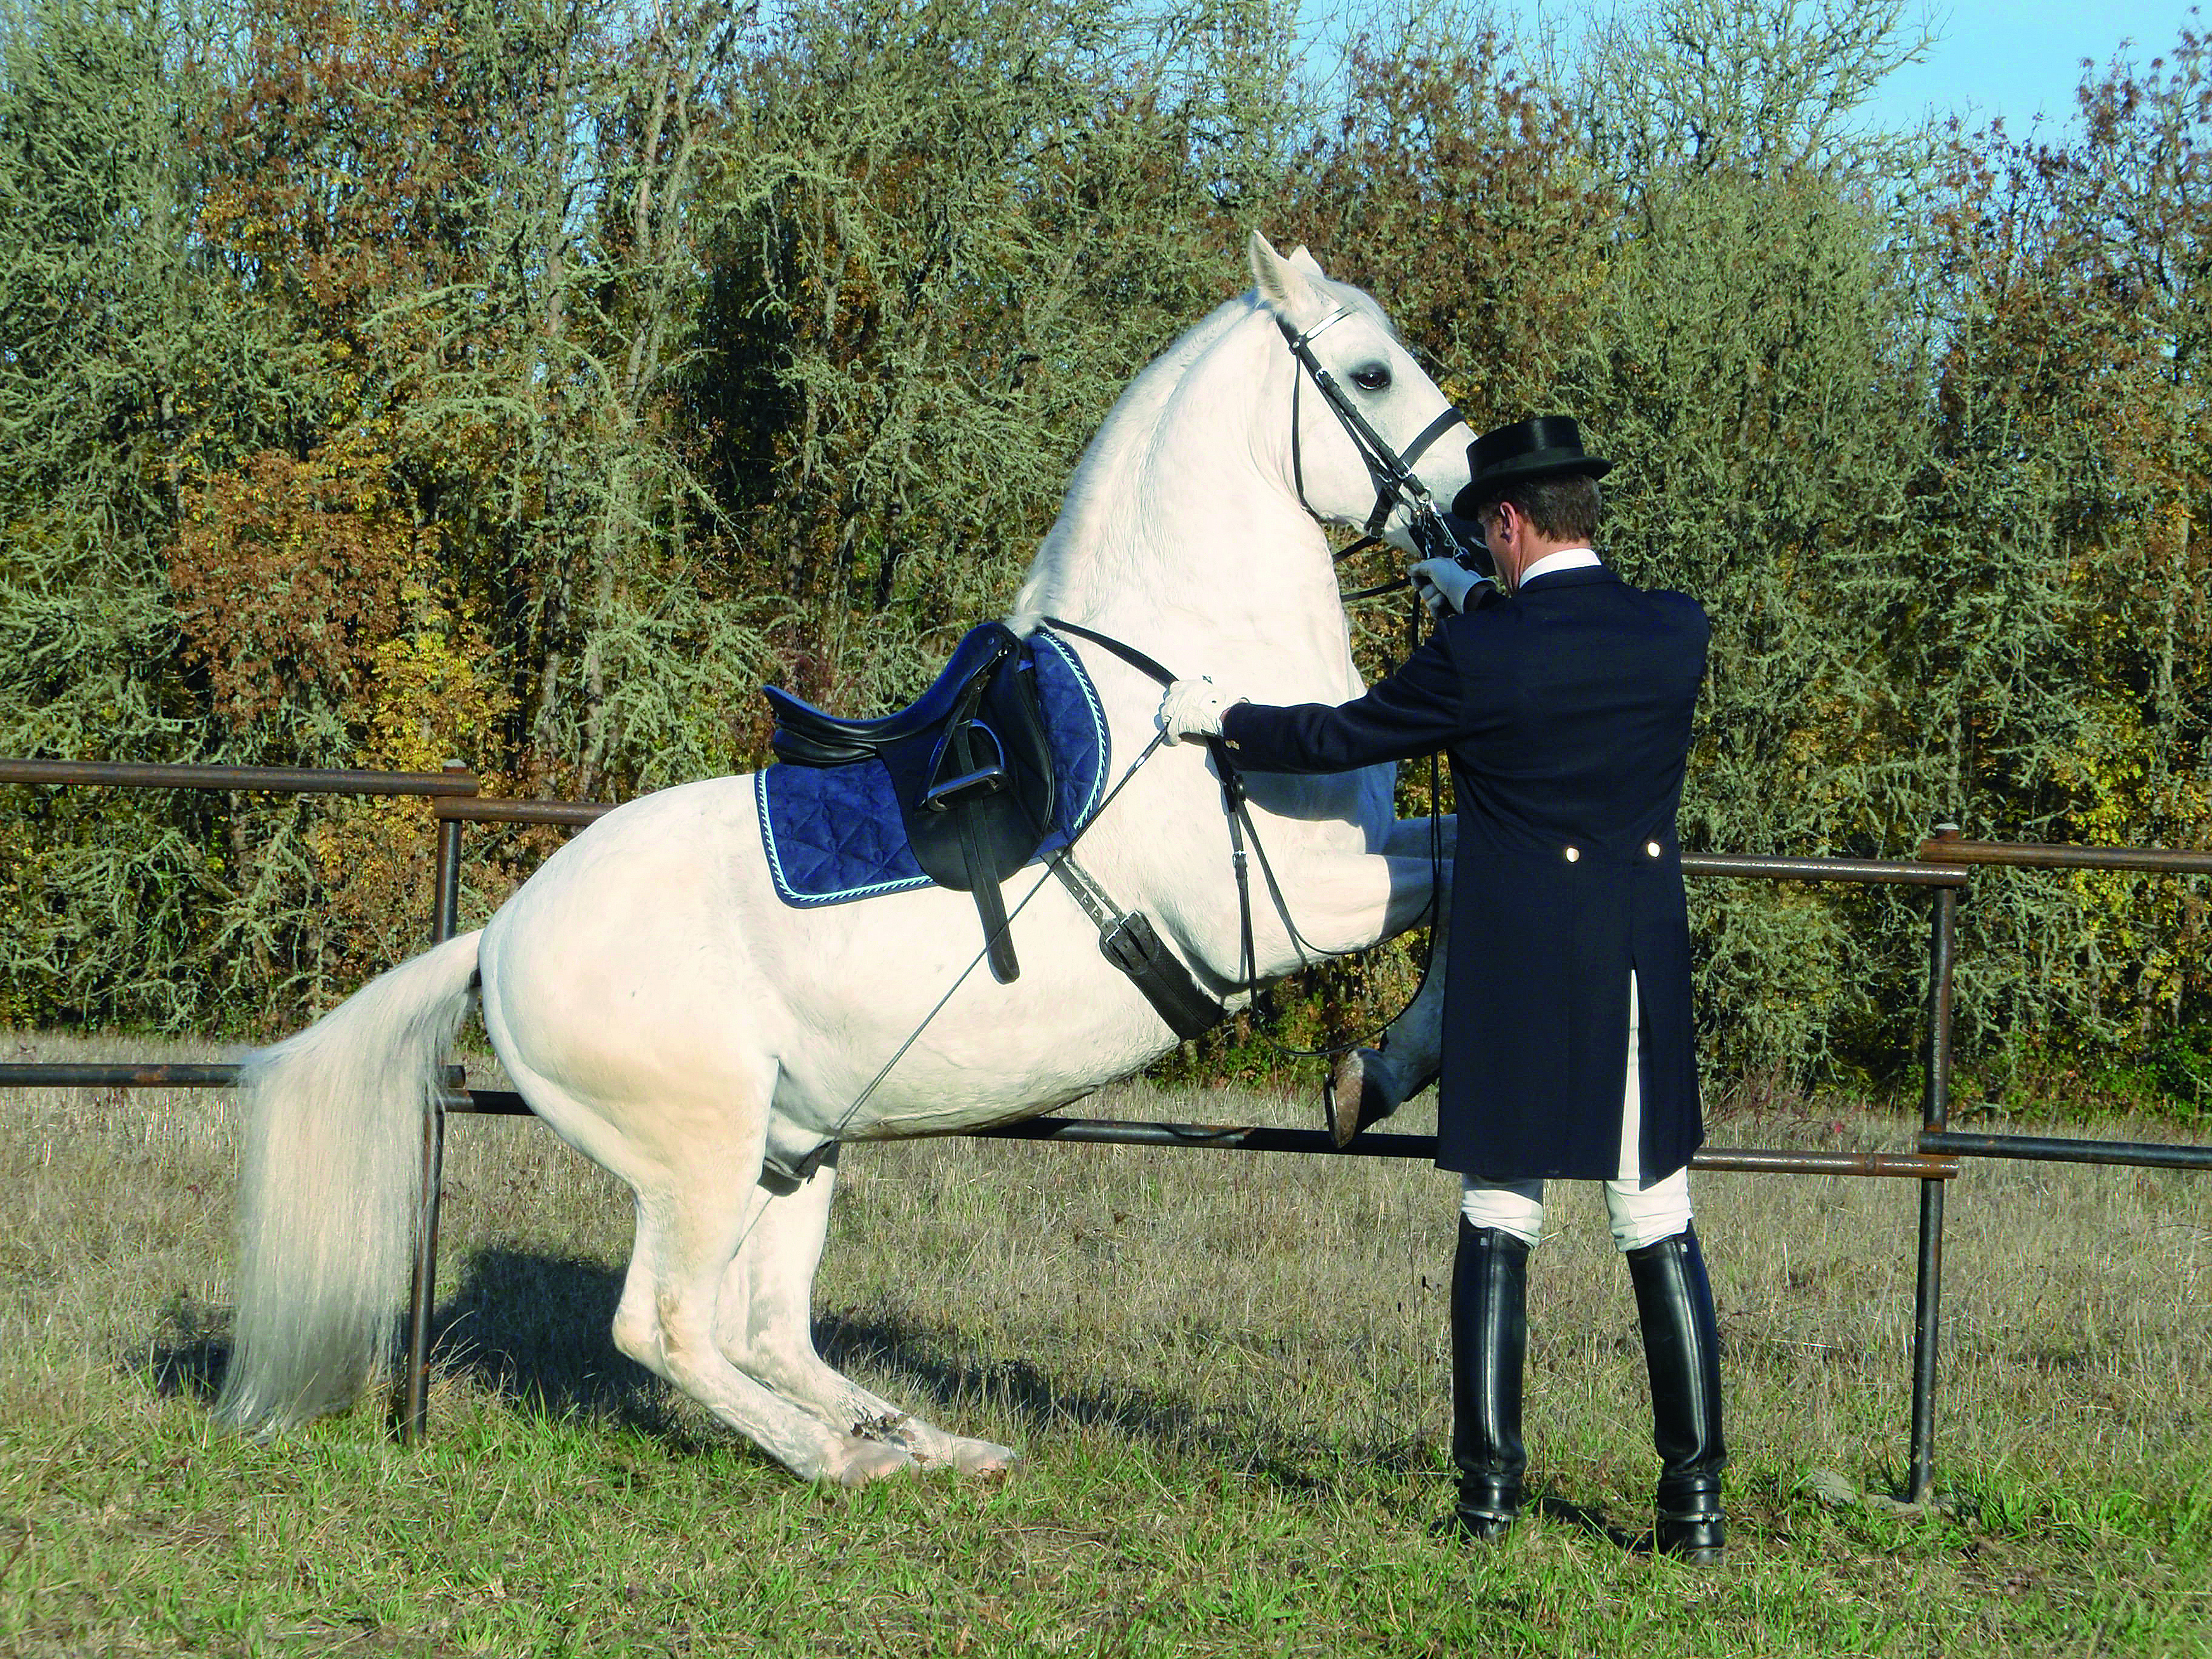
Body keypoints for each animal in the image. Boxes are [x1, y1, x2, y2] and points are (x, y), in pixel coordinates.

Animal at [215, 231, 1469, 1477]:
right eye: (1371, 376)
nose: (1466, 512)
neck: (1182, 682)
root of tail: (495, 939)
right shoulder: (1297, 905)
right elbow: (1452, 883)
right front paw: (1376, 1073)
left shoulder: (1352, 870)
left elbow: (1455, 867)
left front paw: (1374, 1074)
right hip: (700, 1157)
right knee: (670, 1325)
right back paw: (843, 1460)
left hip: (796, 1145)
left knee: (767, 1330)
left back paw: (932, 1443)